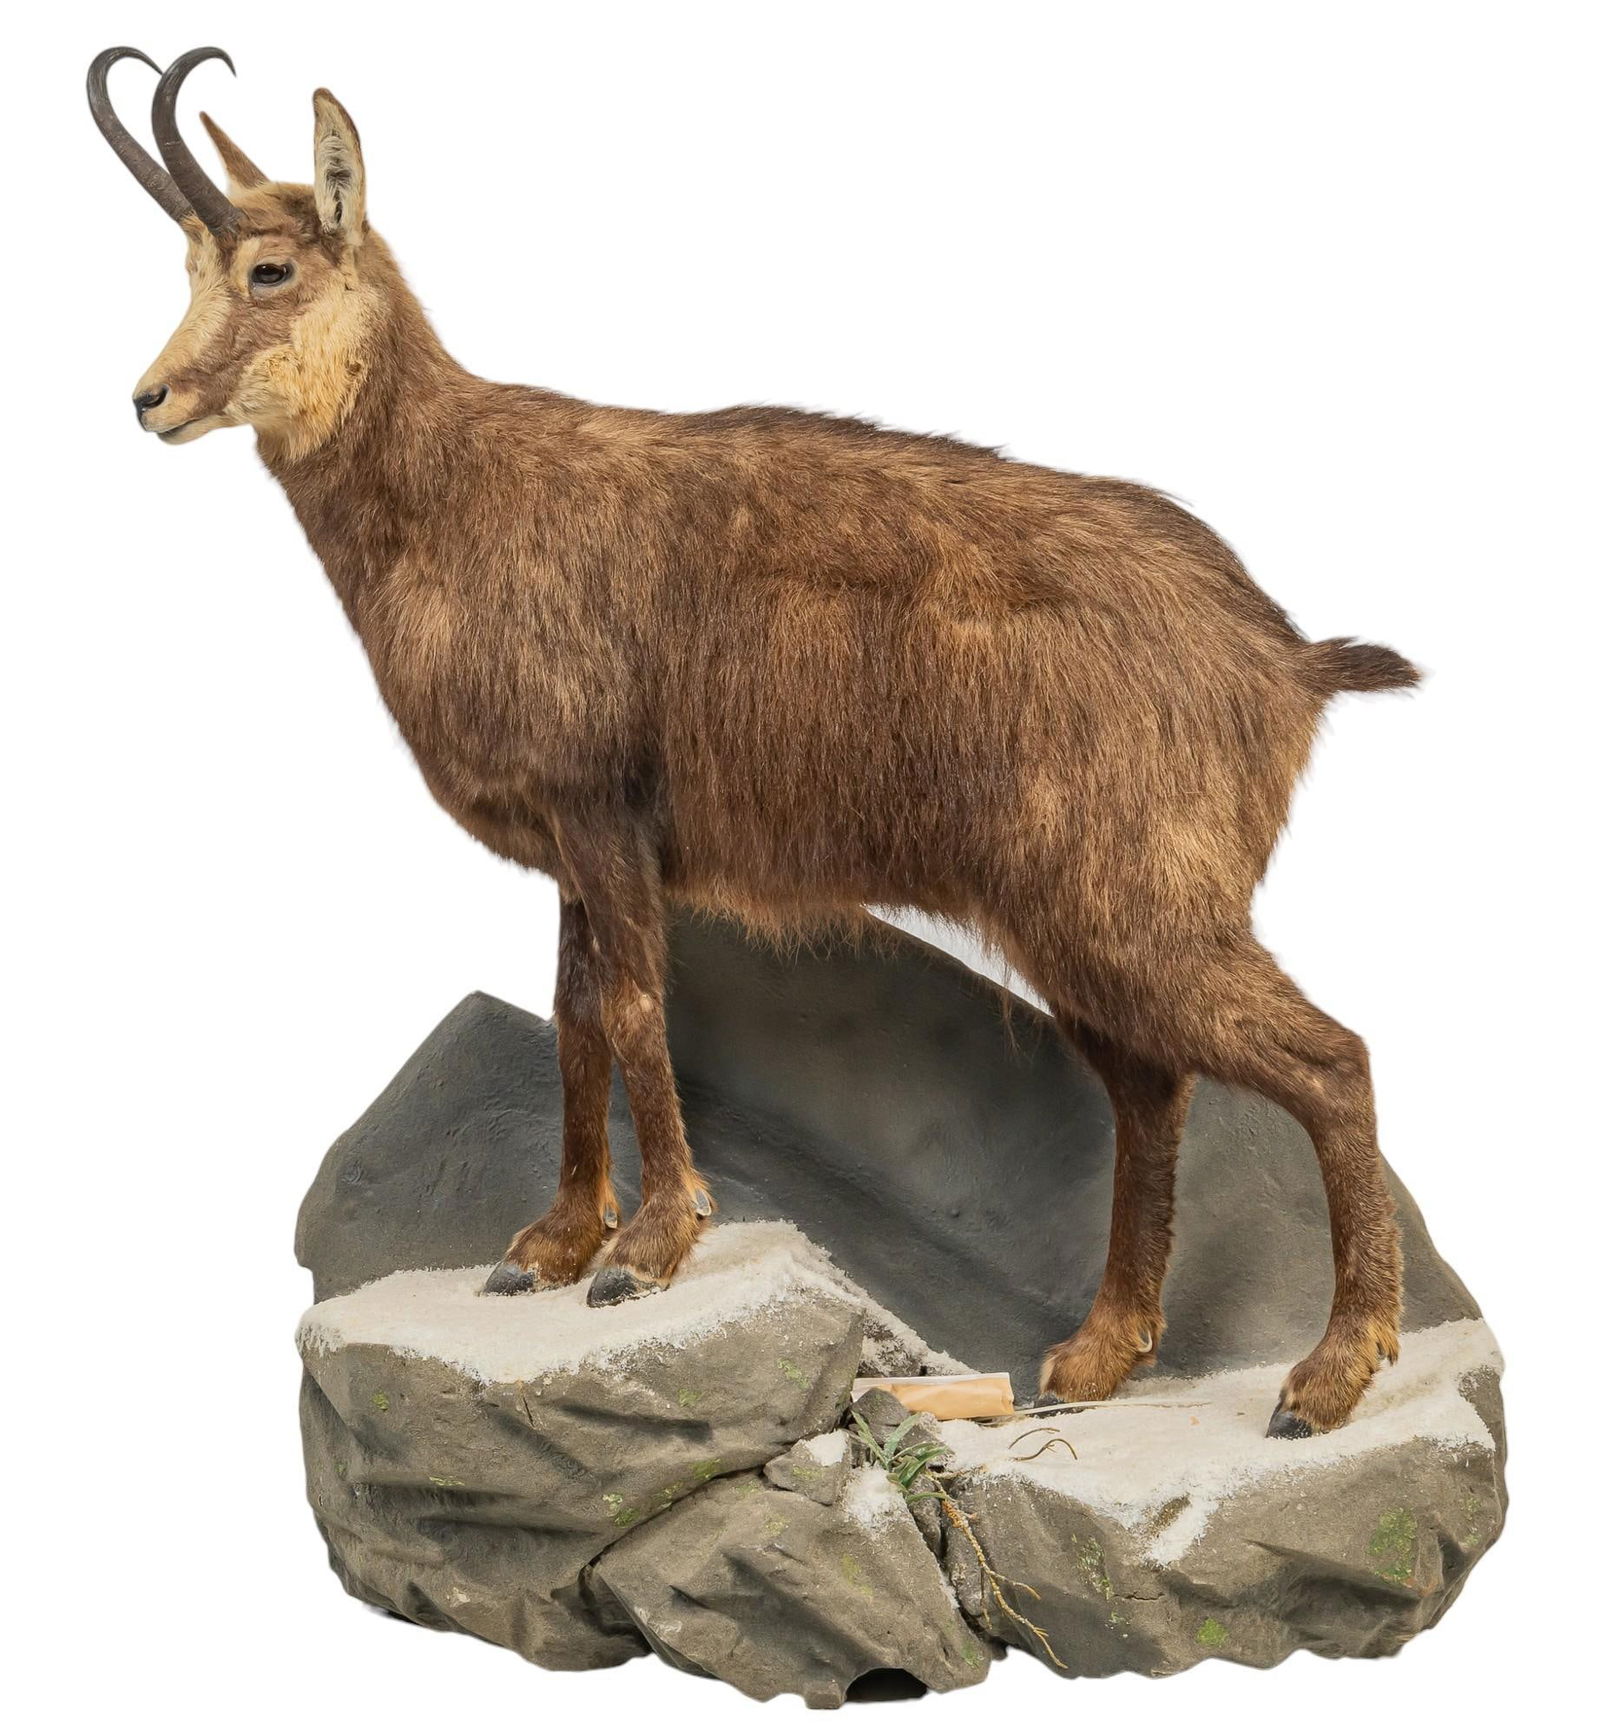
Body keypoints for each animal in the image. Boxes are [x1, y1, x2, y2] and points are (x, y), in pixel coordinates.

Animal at [91, 45, 1424, 1436]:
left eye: (269, 269)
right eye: (186, 267)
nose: (150, 399)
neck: (455, 500)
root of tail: (1284, 657)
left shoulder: (600, 809)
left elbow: (632, 1006)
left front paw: (646, 1248)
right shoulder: (577, 844)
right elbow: (573, 1014)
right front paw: (550, 1242)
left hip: (1136, 900)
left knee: (1330, 1059)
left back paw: (1325, 1375)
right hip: (1083, 921)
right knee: (1153, 1087)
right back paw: (1097, 1353)